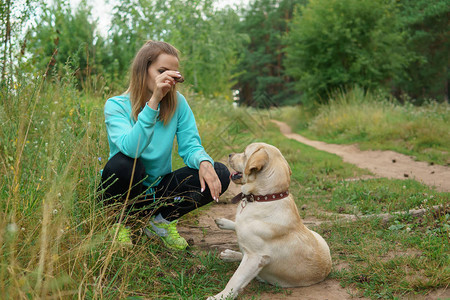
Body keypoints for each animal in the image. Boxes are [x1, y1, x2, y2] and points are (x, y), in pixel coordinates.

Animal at [207, 143, 330, 300]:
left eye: (245, 154)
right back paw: (230, 251)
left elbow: (235, 279)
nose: (230, 154)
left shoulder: (256, 257)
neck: (265, 197)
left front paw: (220, 296)